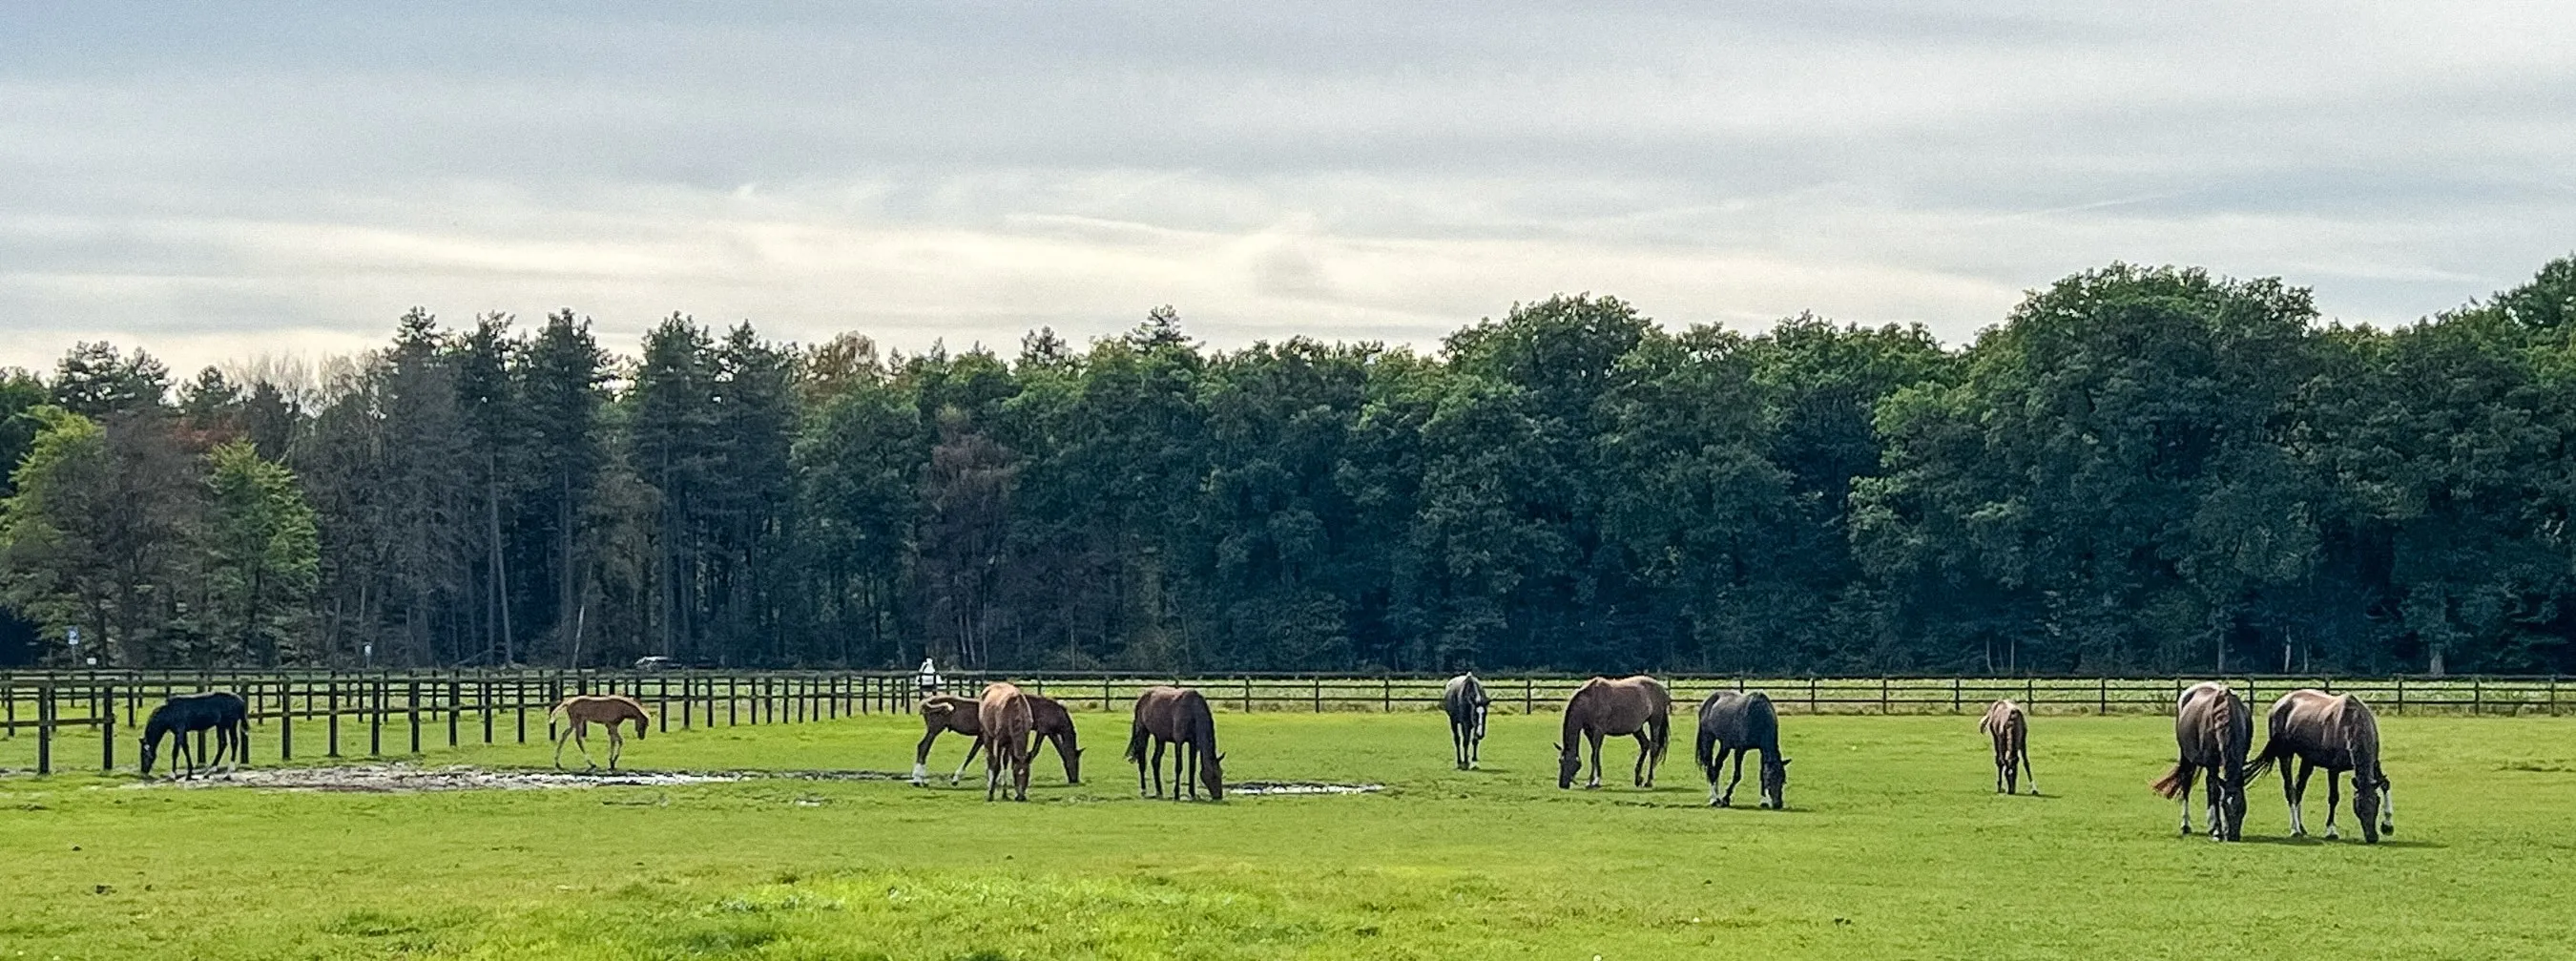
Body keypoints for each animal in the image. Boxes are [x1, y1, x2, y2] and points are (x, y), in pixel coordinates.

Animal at [916, 692, 1085, 786]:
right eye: (1076, 761)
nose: (1075, 779)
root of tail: (928, 701)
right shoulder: (1043, 731)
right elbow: (1034, 752)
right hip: (934, 730)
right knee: (923, 747)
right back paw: (918, 780)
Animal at [2149, 681, 2252, 841]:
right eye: (2225, 807)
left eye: (2243, 807)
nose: (2233, 836)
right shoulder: (2212, 763)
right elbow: (2215, 792)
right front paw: (2217, 831)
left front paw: (2218, 828)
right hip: (2186, 758)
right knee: (2187, 784)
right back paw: (2186, 826)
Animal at [2243, 689, 2393, 843]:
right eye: (2358, 807)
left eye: (2376, 803)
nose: (2372, 837)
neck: (2352, 723)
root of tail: (2279, 703)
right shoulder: (2333, 770)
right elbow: (2333, 797)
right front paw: (2331, 831)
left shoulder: (2375, 764)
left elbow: (2385, 784)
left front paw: (2387, 825)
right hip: (2285, 755)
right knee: (2290, 789)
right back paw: (2295, 829)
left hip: (2308, 760)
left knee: (2299, 788)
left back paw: (2301, 827)